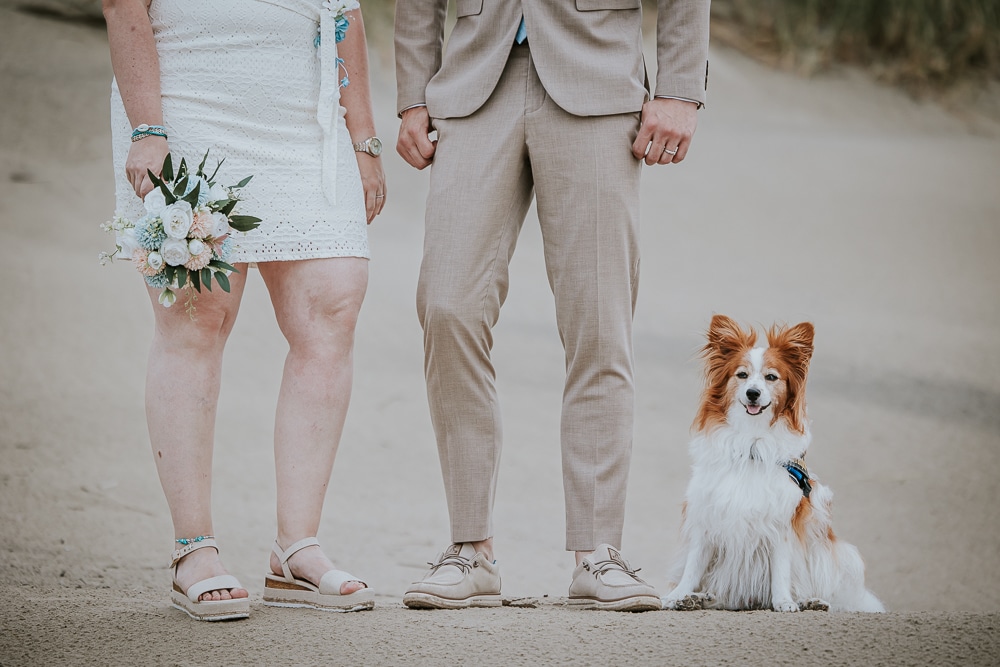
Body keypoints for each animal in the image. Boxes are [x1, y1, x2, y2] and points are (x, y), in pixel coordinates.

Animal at [664, 316, 884, 612]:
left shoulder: (781, 524)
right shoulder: (707, 515)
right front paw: (678, 595)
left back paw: (811, 601)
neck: (751, 441)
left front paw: (783, 602)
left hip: (833, 552)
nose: (753, 393)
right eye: (742, 375)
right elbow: (693, 565)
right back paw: (698, 599)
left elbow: (780, 570)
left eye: (771, 377)